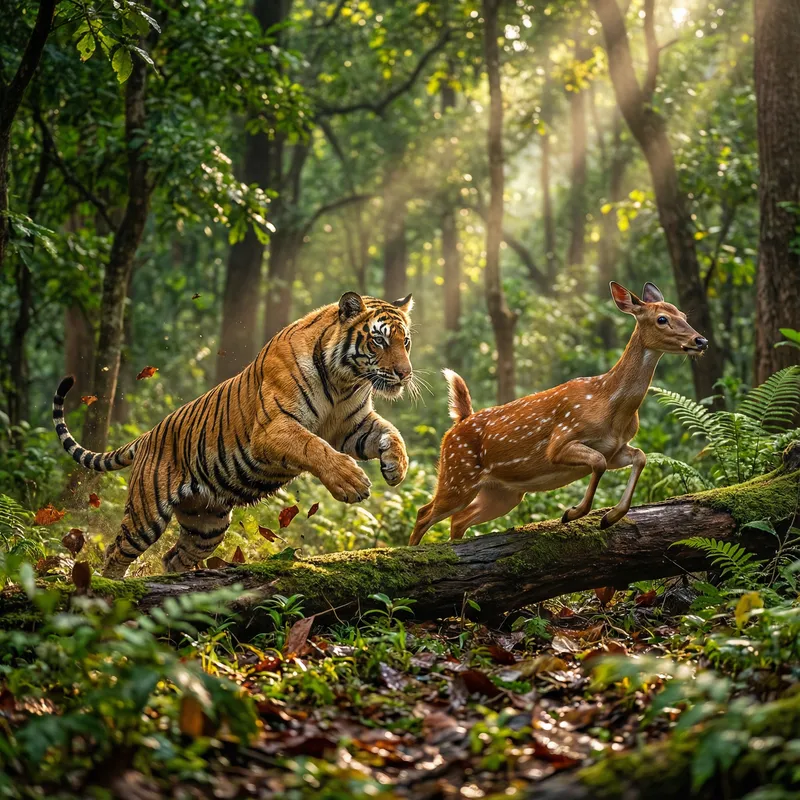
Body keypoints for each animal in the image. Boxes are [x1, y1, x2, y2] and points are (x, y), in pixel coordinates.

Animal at [52, 292, 414, 578]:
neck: (344, 381)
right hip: (146, 514)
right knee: (116, 551)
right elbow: (313, 446)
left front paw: (396, 467)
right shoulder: (273, 429)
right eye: (379, 340)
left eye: (405, 341)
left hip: (206, 525)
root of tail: (147, 435)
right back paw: (110, 589)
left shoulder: (353, 427)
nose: (405, 373)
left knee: (174, 557)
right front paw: (351, 482)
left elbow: (392, 433)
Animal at [408, 282, 709, 546]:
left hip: (503, 493)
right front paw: (572, 513)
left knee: (458, 520)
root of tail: (458, 423)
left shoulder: (616, 449)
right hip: (457, 475)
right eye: (662, 319)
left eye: (683, 315)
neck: (610, 404)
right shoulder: (561, 441)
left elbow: (640, 457)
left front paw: (610, 517)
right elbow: (598, 462)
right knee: (424, 513)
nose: (701, 340)